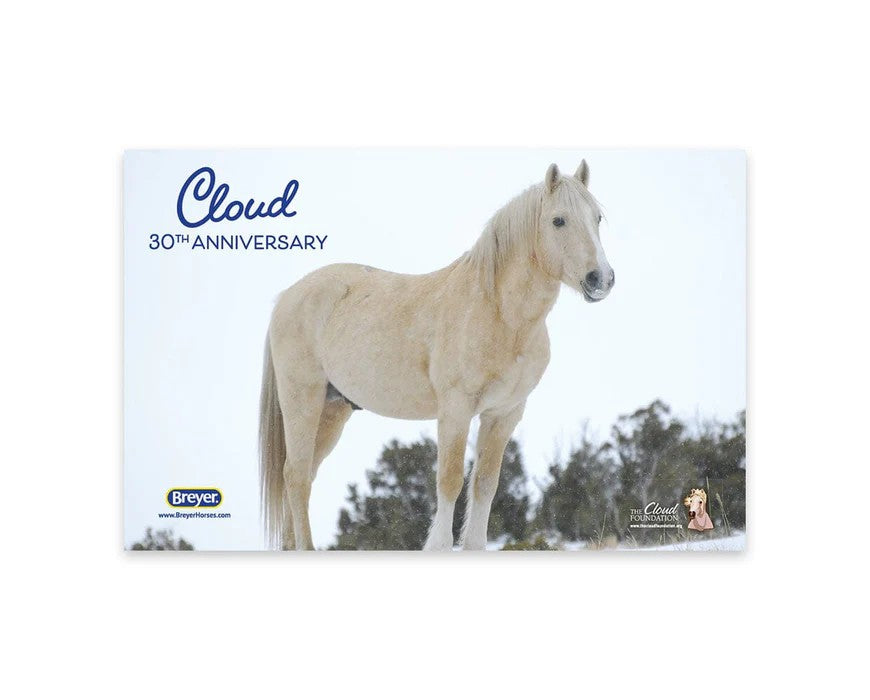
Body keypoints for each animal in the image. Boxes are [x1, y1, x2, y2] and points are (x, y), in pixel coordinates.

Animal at [259, 161, 615, 550]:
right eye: (558, 220)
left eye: (597, 217)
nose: (601, 279)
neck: (500, 316)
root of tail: (287, 297)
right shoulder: (456, 410)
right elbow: (450, 480)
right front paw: (440, 545)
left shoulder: (504, 414)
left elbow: (485, 484)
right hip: (303, 401)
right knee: (296, 476)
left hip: (333, 409)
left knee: (301, 474)